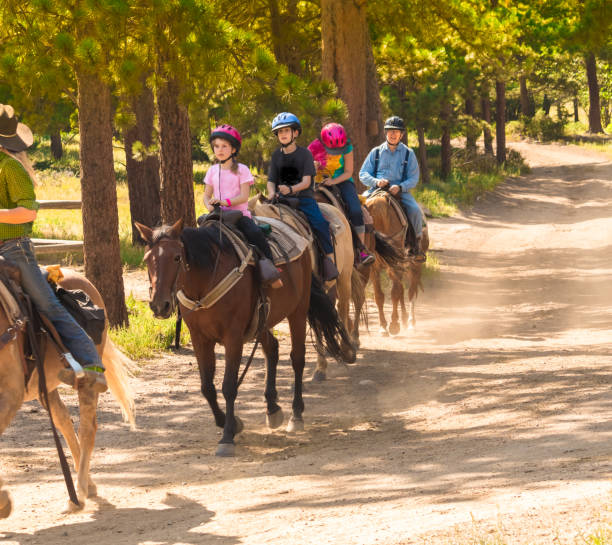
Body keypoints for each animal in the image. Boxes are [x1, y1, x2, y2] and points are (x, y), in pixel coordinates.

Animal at [0, 268, 134, 520]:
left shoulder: (10, 395)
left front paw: (3, 500)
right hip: (46, 387)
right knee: (64, 421)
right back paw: (88, 486)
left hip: (87, 383)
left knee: (87, 429)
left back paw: (78, 493)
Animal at [136, 217, 352, 454]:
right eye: (147, 259)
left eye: (176, 257)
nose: (160, 305)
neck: (206, 281)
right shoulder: (200, 339)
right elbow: (207, 387)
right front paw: (230, 423)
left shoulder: (233, 337)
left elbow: (229, 386)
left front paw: (227, 436)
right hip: (263, 320)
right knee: (272, 349)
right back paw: (272, 409)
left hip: (298, 311)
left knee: (297, 359)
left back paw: (296, 415)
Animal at [366, 191, 428, 336]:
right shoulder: (374, 269)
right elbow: (379, 296)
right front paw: (383, 326)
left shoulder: (396, 266)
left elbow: (395, 293)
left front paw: (394, 325)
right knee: (402, 291)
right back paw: (404, 319)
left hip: (415, 266)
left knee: (411, 291)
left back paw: (411, 322)